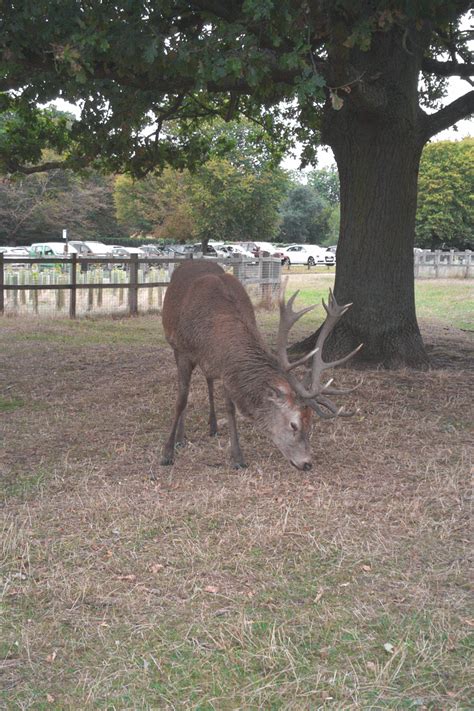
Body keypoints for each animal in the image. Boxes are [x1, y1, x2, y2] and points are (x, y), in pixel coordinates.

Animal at [161, 258, 362, 470]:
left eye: (311, 423)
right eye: (293, 424)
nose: (307, 463)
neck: (212, 337)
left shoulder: (227, 368)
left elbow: (230, 408)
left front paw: (237, 458)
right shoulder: (183, 351)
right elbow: (181, 400)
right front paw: (168, 452)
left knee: (208, 380)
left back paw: (213, 426)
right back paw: (181, 438)